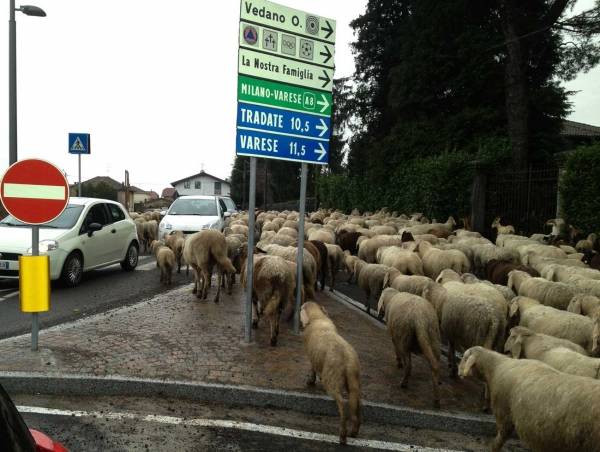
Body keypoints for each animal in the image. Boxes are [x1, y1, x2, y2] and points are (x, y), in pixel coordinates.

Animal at [300, 302, 360, 444]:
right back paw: (353, 432)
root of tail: (347, 361)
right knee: (356, 403)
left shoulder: (311, 355)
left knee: (342, 404)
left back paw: (342, 436)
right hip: (354, 380)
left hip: (333, 379)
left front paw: (310, 381)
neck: (318, 317)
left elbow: (312, 367)